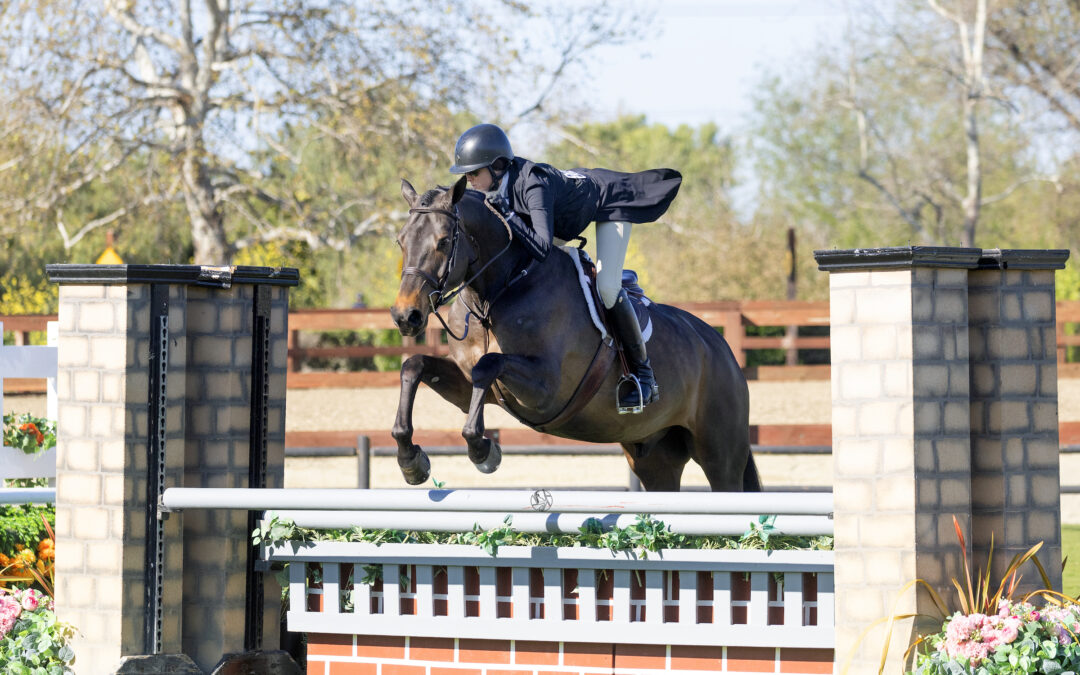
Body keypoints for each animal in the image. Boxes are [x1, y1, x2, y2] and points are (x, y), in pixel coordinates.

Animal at [390, 173, 760, 490]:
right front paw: (411, 460)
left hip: (720, 455)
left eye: (443, 242)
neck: (493, 298)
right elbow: (415, 365)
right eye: (400, 241)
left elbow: (489, 364)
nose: (406, 315)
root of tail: (720, 346)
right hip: (655, 455)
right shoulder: (472, 386)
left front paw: (484, 452)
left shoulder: (547, 389)